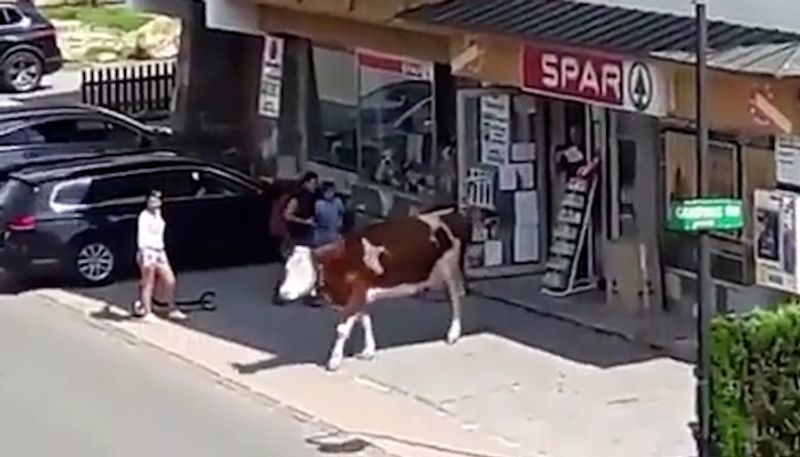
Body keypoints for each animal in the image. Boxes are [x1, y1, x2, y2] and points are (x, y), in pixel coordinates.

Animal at [276, 207, 468, 370]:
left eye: (306, 272)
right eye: (287, 270)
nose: (283, 293)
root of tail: (449, 214)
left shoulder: (356, 295)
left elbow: (342, 329)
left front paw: (334, 361)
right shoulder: (363, 295)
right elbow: (366, 321)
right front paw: (368, 351)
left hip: (451, 270)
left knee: (455, 298)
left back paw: (453, 334)